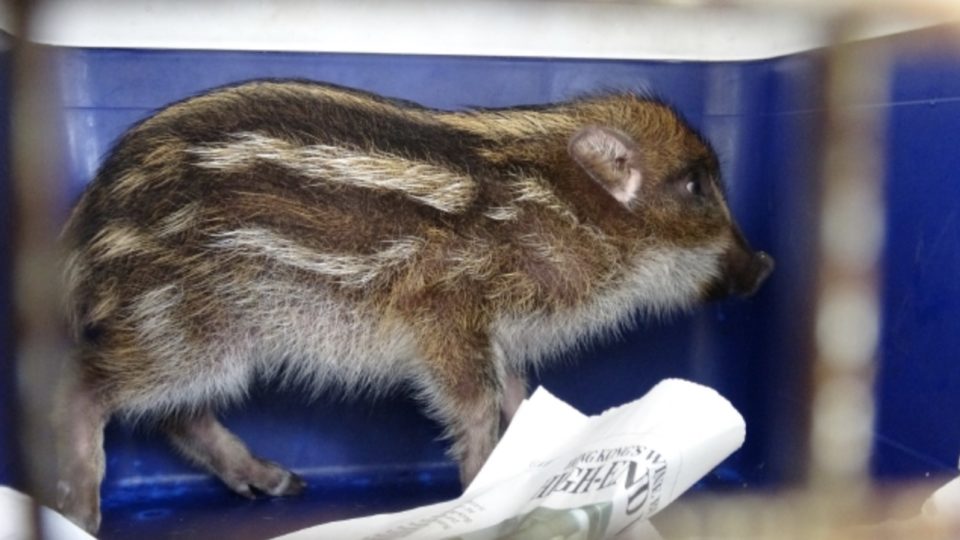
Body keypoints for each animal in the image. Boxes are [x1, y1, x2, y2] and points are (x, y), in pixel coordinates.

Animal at [55, 80, 773, 532]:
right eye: (694, 185)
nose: (766, 266)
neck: (558, 211)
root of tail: (85, 226)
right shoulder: (450, 322)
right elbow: (476, 409)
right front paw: (484, 491)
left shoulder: (500, 338)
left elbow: (518, 396)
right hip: (190, 330)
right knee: (89, 386)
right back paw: (79, 511)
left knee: (175, 415)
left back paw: (276, 482)